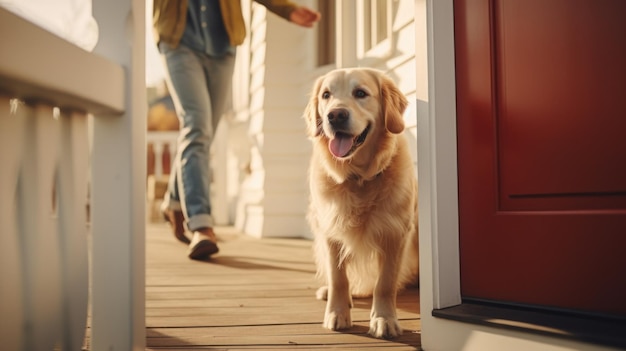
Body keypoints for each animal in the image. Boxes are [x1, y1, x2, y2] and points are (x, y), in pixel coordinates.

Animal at [304, 67, 416, 340]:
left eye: (361, 93)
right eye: (326, 95)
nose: (335, 115)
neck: (358, 178)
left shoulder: (397, 232)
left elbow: (385, 283)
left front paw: (384, 319)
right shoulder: (330, 232)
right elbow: (338, 278)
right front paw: (338, 313)